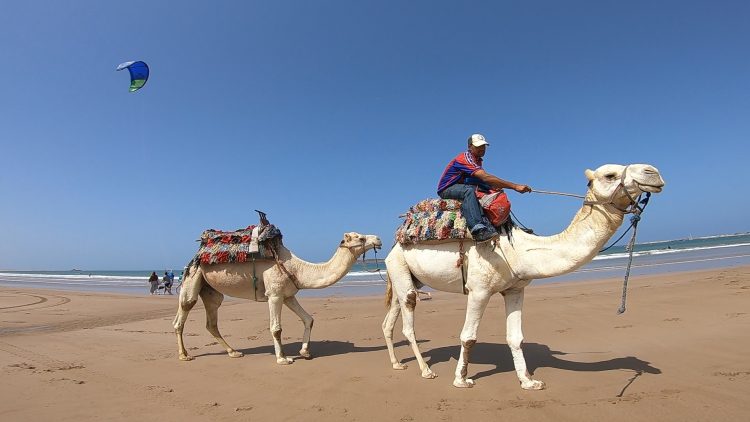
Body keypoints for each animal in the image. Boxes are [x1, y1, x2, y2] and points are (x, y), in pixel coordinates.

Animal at [176, 231, 382, 362]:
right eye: (361, 237)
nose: (379, 239)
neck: (297, 269)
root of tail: (195, 256)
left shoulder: (288, 295)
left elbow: (308, 319)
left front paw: (305, 352)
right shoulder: (274, 294)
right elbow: (276, 328)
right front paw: (283, 358)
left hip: (210, 290)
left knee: (211, 321)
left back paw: (233, 352)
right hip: (193, 277)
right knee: (183, 313)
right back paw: (184, 355)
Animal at [384, 164, 668, 390]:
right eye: (610, 175)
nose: (653, 172)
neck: (516, 249)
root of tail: (394, 244)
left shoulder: (515, 289)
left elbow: (515, 337)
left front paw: (529, 381)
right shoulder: (479, 290)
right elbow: (469, 336)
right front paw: (461, 379)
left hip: (405, 274)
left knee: (390, 319)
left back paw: (398, 365)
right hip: (402, 270)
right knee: (409, 319)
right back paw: (426, 370)